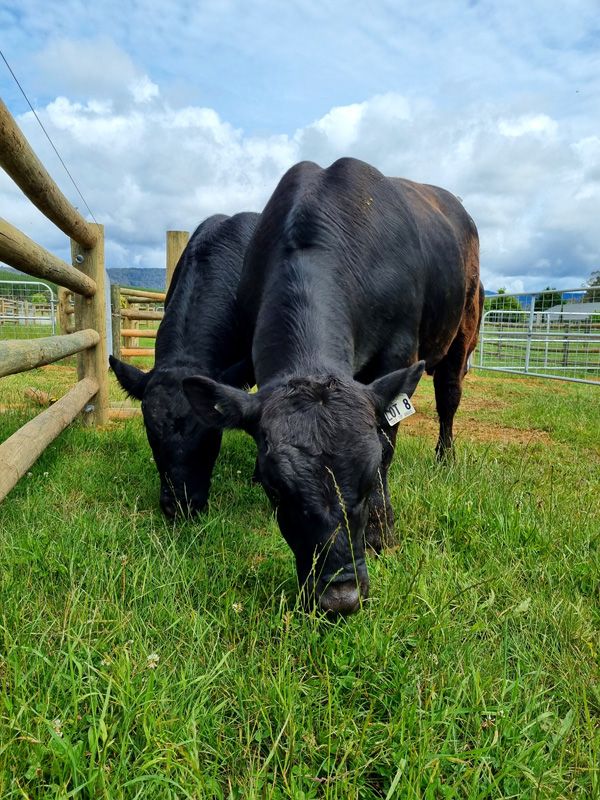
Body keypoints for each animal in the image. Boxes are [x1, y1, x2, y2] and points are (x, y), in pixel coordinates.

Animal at [183, 158, 483, 615]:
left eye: (369, 476)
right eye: (275, 488)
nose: (341, 598)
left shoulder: (398, 353)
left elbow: (388, 445)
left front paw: (382, 533)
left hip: (461, 331)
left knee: (448, 397)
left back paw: (445, 457)